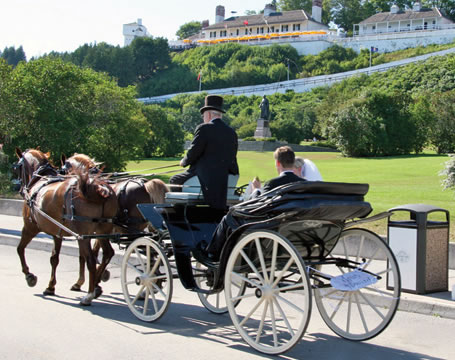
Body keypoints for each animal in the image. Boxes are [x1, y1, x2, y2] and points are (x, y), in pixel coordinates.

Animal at [15, 148, 119, 306]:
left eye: (18, 167)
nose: (19, 187)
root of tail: (99, 189)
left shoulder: (29, 227)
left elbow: (20, 249)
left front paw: (29, 276)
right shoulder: (57, 233)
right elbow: (55, 258)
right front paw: (51, 286)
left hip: (84, 235)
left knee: (91, 259)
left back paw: (89, 295)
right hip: (103, 230)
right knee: (107, 253)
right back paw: (95, 285)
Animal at [59, 152, 168, 290]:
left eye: (62, 170)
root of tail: (144, 184)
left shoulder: (89, 231)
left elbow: (85, 255)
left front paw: (83, 282)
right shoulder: (101, 230)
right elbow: (96, 252)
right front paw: (99, 277)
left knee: (149, 251)